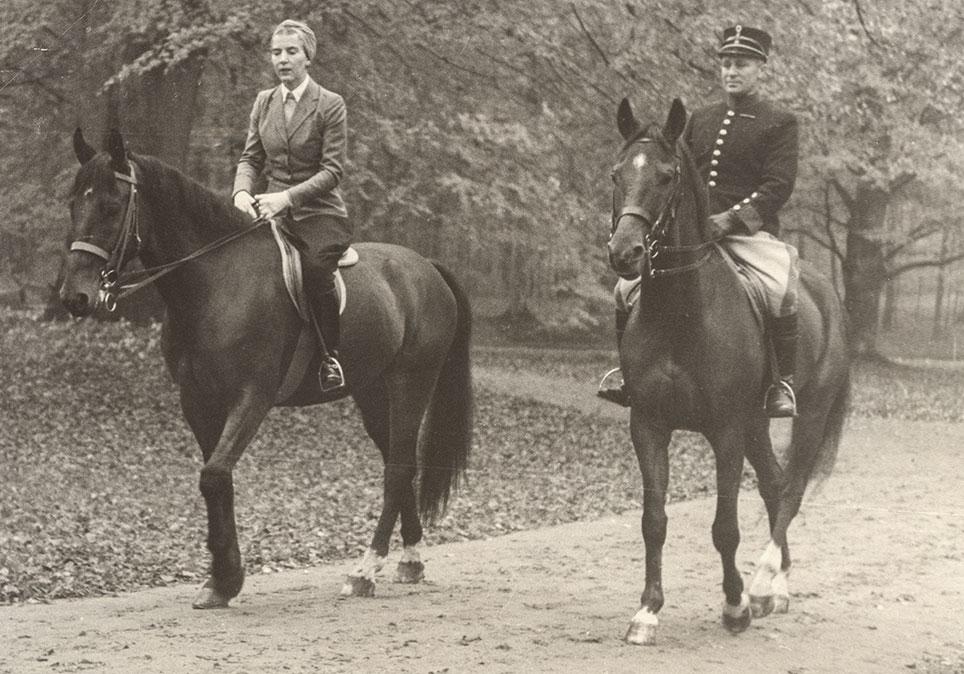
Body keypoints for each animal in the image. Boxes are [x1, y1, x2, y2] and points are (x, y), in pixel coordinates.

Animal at [58, 129, 472, 608]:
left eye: (112, 205)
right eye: (73, 204)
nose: (75, 297)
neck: (215, 283)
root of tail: (426, 267)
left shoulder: (252, 397)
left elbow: (214, 476)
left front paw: (225, 577)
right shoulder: (197, 401)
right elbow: (217, 480)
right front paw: (221, 579)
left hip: (411, 382)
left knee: (399, 469)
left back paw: (364, 571)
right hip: (372, 391)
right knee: (398, 461)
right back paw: (410, 560)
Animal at [608, 98, 848, 640]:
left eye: (667, 176)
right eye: (616, 173)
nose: (625, 253)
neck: (679, 312)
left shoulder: (726, 430)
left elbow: (724, 527)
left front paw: (735, 605)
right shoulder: (648, 424)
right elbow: (654, 520)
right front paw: (647, 610)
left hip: (805, 417)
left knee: (791, 490)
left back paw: (762, 584)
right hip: (757, 423)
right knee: (775, 485)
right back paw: (776, 585)